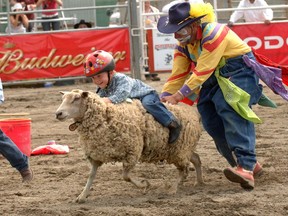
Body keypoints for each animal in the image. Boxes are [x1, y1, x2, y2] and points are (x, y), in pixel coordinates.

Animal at [55, 89, 204, 202]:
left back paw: (173, 188)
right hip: (182, 149)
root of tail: (194, 113)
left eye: (76, 98)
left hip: (180, 149)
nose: (58, 113)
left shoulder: (132, 151)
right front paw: (82, 196)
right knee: (196, 159)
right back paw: (199, 182)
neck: (105, 117)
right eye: (63, 98)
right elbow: (91, 176)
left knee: (184, 170)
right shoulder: (96, 155)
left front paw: (144, 185)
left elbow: (125, 176)